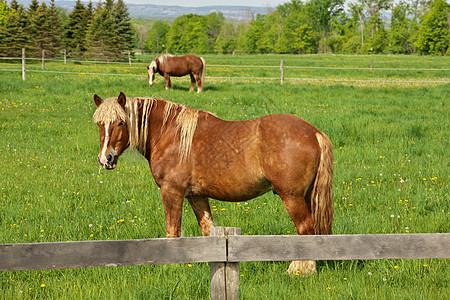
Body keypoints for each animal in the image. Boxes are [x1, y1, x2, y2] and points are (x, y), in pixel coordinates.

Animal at [93, 92, 334, 276]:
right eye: (99, 124)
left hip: (291, 196)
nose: (106, 159)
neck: (170, 134)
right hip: (305, 196)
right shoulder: (196, 195)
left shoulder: (172, 192)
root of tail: (314, 132)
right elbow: (208, 229)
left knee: (305, 228)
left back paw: (300, 269)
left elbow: (172, 231)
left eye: (120, 122)